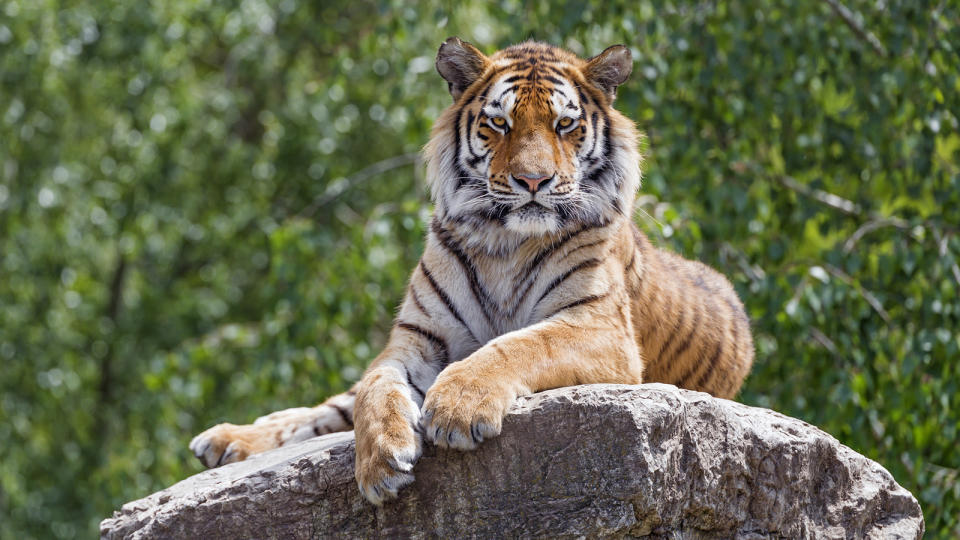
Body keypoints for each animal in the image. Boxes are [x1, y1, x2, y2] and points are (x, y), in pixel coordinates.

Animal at [189, 38, 756, 506]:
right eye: (500, 123)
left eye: (565, 125)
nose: (533, 181)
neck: (506, 242)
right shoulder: (416, 337)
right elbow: (375, 387)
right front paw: (380, 461)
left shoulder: (599, 329)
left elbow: (519, 344)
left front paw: (457, 408)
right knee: (328, 409)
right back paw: (225, 440)